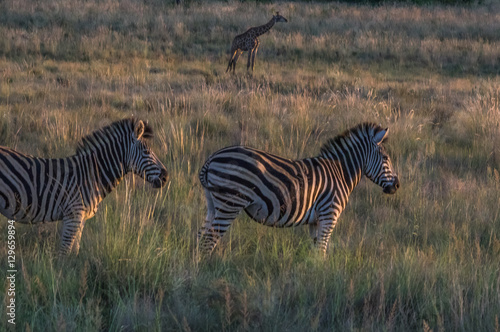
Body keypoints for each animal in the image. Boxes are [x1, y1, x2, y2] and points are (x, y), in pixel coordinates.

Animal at [0, 118, 168, 255]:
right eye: (147, 151)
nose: (165, 177)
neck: (91, 176)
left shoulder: (80, 220)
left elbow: (74, 252)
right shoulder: (73, 216)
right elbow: (64, 254)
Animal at [197, 122, 400, 254]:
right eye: (386, 158)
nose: (397, 186)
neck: (340, 172)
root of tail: (211, 158)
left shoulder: (316, 220)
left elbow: (315, 250)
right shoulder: (329, 215)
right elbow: (322, 250)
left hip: (213, 203)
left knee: (202, 236)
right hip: (230, 203)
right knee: (209, 240)